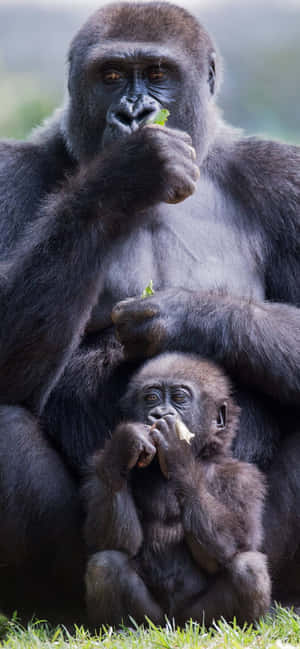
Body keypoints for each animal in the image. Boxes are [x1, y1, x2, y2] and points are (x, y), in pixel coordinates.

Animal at [83, 352, 270, 624]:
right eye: (151, 398)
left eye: (180, 398)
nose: (159, 414)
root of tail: (173, 623)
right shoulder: (97, 465)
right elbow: (112, 540)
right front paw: (126, 443)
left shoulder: (245, 478)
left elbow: (235, 543)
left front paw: (177, 452)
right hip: (153, 619)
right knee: (106, 563)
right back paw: (120, 628)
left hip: (196, 619)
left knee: (248, 567)